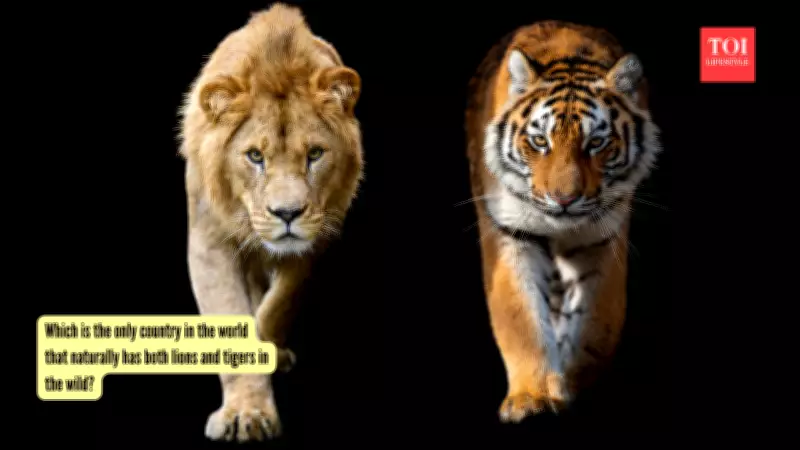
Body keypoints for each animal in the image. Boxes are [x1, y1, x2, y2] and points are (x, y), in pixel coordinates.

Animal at [177, 3, 363, 442]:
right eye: (254, 156)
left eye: (315, 154)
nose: (287, 214)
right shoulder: (209, 242)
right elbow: (231, 313)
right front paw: (246, 413)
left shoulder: (316, 237)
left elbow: (279, 304)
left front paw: (268, 350)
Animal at [464, 20, 662, 423]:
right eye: (540, 141)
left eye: (597, 142)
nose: (564, 199)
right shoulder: (511, 234)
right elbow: (520, 319)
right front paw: (532, 397)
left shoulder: (603, 237)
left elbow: (598, 324)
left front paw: (568, 385)